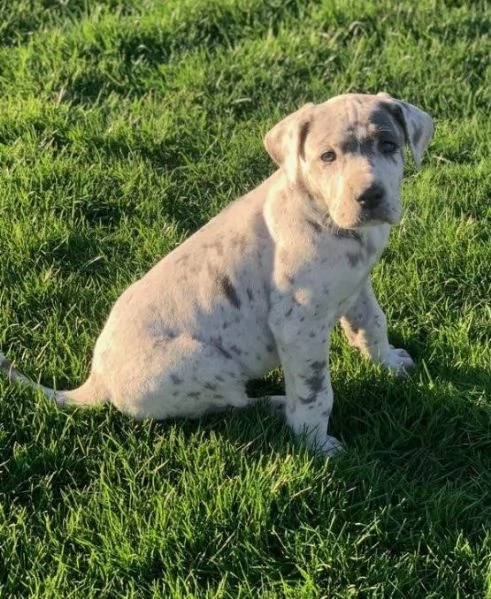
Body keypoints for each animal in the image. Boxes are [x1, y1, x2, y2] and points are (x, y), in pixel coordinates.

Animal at [0, 92, 432, 454]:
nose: (370, 196)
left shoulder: (357, 287)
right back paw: (278, 406)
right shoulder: (299, 326)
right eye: (327, 156)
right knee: (235, 406)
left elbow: (372, 323)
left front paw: (389, 363)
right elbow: (315, 393)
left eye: (388, 145)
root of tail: (96, 383)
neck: (327, 217)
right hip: (208, 363)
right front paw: (316, 443)